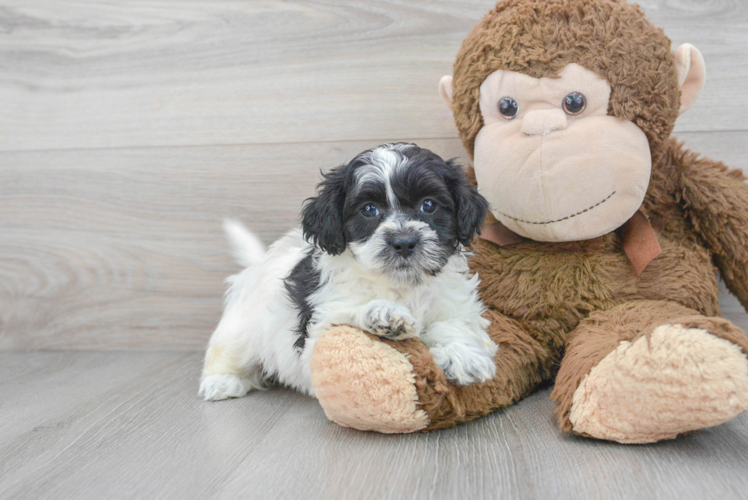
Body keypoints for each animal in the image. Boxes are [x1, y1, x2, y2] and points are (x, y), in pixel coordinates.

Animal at [202, 143, 500, 400]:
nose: (403, 242)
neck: (399, 285)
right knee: (227, 353)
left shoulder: (456, 305)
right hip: (240, 329)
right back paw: (222, 381)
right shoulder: (317, 336)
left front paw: (461, 354)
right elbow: (345, 316)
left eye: (428, 205)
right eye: (369, 209)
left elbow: (454, 325)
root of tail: (259, 263)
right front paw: (383, 313)